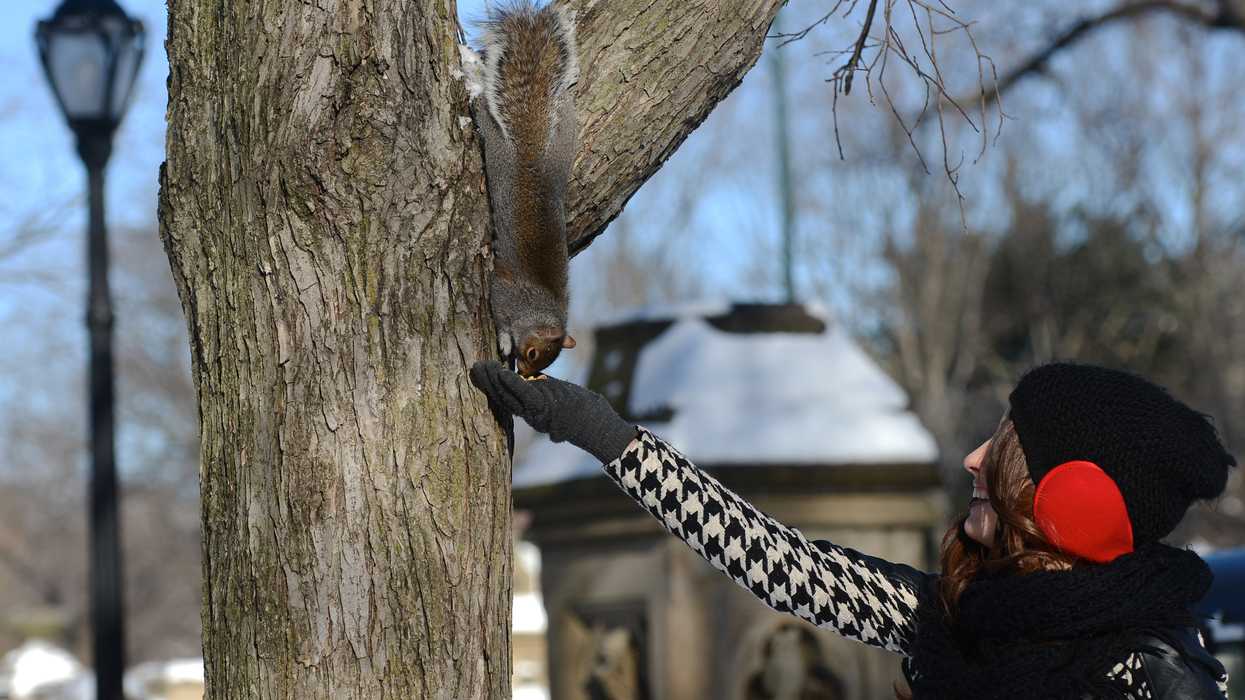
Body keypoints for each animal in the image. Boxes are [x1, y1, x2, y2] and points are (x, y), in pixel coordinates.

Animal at [461, 2, 578, 377]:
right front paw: (503, 342)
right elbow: (500, 318)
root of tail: (529, 155)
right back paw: (477, 103)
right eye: (533, 352)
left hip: (563, 141)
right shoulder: (504, 294)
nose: (526, 374)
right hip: (497, 147)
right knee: (486, 119)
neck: (538, 308)